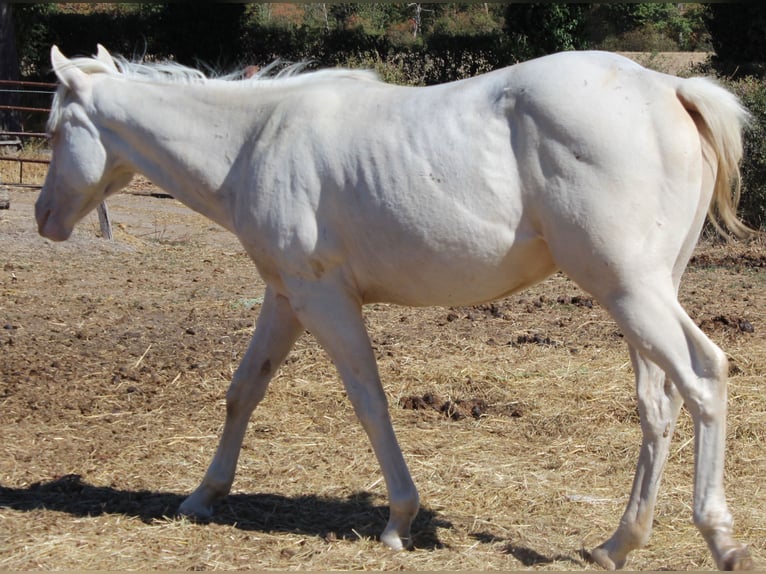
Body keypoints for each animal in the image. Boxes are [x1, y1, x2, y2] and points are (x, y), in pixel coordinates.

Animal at [36, 45, 753, 570]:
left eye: (53, 130)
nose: (44, 218)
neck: (253, 140)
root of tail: (671, 89)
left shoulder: (324, 299)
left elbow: (370, 403)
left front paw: (399, 519)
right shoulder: (285, 295)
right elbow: (244, 390)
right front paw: (202, 495)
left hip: (630, 289)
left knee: (704, 377)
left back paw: (720, 538)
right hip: (643, 294)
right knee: (658, 404)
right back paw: (616, 544)